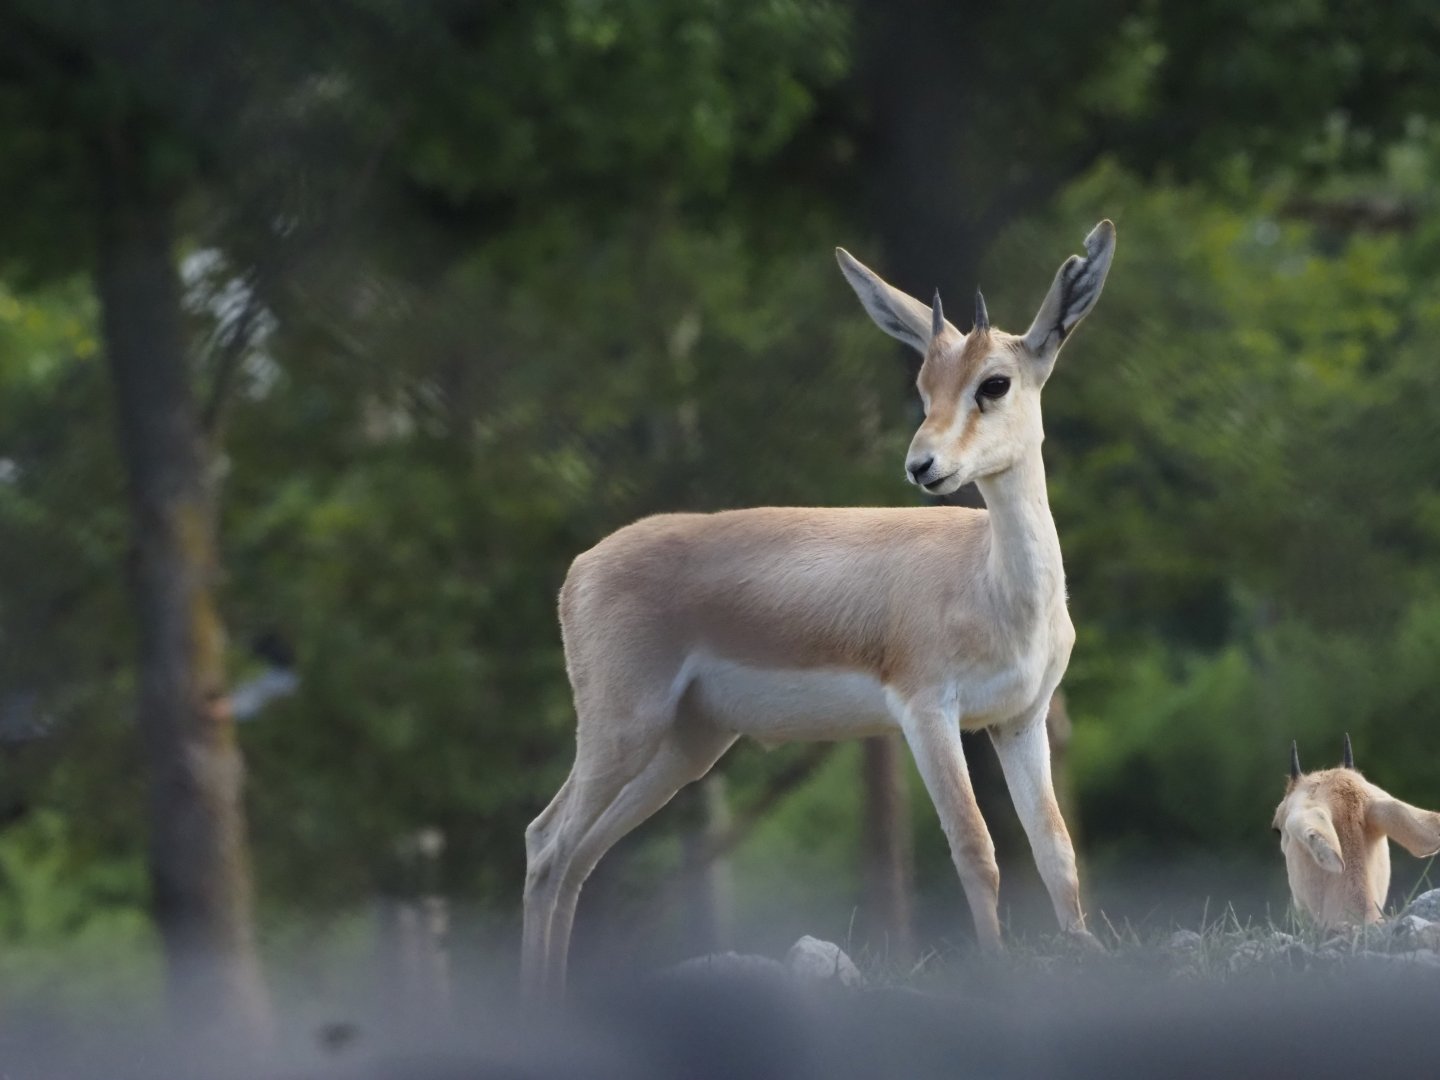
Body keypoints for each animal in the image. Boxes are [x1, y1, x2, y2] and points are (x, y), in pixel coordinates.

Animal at [521, 220, 1117, 998]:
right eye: (924, 385)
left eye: (995, 382)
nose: (922, 466)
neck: (988, 582)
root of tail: (580, 570)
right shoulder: (927, 711)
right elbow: (975, 846)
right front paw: (993, 973)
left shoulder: (1019, 720)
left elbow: (1056, 850)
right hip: (623, 727)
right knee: (546, 841)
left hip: (686, 747)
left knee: (577, 856)